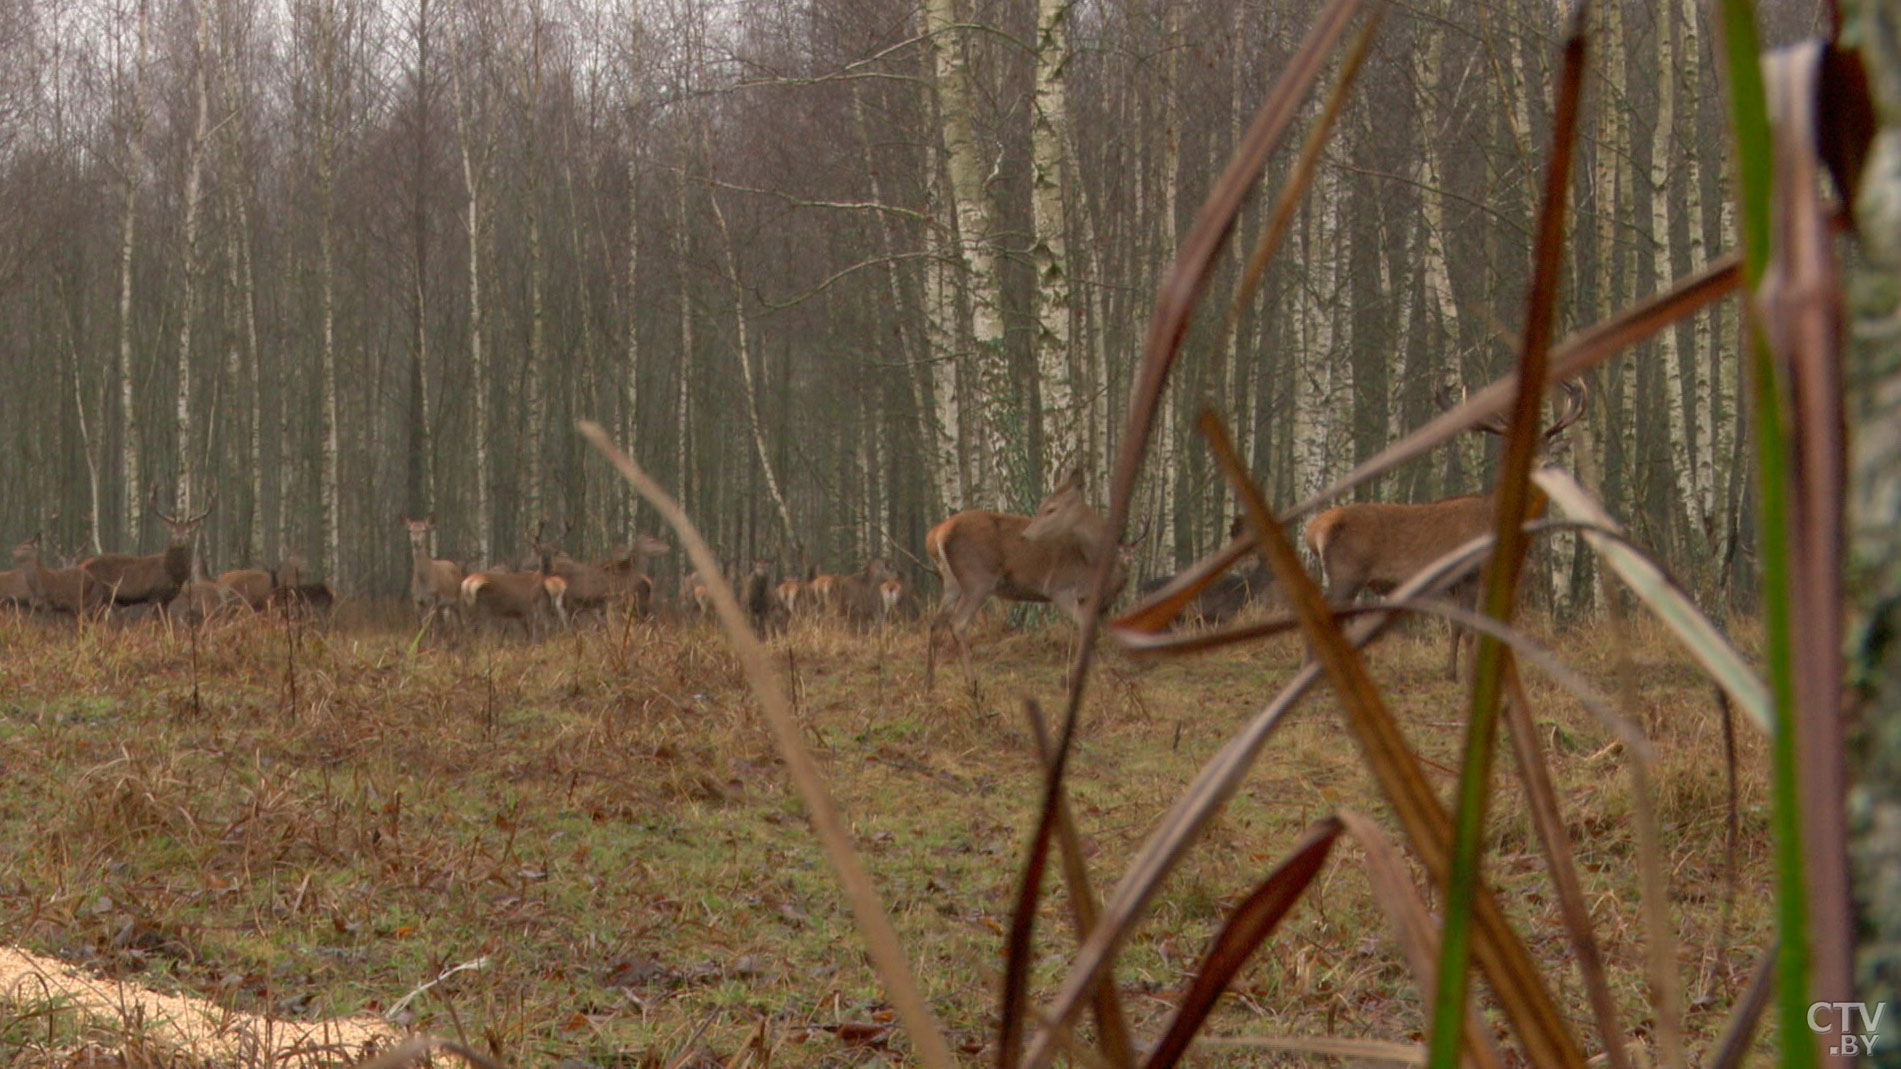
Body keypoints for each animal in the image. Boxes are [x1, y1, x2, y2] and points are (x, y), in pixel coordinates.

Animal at [923, 469, 1125, 684]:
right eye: (1042, 506)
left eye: (1051, 509)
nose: (1025, 535)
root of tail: (936, 534)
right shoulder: (1058, 587)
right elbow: (1085, 625)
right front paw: (1092, 676)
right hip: (977, 577)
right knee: (957, 622)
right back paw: (972, 683)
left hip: (952, 582)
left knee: (936, 624)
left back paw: (929, 683)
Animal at [1292, 378, 1589, 677]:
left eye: (1548, 448)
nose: (1549, 465)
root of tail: (1313, 530)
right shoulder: (1469, 573)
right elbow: (1470, 630)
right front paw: (1471, 675)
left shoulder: (1458, 584)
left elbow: (1456, 627)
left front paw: (1451, 673)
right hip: (1347, 571)